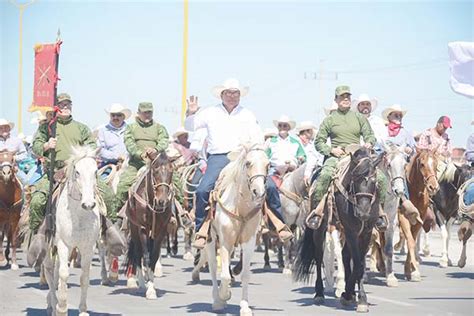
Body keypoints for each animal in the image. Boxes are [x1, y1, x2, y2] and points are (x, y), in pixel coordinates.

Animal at [42, 146, 103, 316]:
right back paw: (52, 305)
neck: (79, 216)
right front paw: (62, 308)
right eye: (77, 172)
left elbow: (84, 277)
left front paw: (83, 310)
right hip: (50, 248)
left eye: (95, 171)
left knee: (56, 272)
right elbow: (64, 274)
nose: (88, 204)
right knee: (50, 272)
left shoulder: (88, 247)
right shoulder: (63, 244)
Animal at [124, 151, 176, 298]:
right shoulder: (142, 229)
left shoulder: (161, 231)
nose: (162, 201)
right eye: (155, 170)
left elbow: (154, 257)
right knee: (138, 253)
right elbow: (146, 256)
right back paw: (141, 283)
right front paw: (148, 287)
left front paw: (152, 287)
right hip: (134, 230)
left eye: (171, 171)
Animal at [192, 144, 266, 316]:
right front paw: (224, 295)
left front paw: (245, 307)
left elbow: (245, 275)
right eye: (248, 163)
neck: (240, 208)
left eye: (268, 164)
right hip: (211, 240)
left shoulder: (249, 242)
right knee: (213, 267)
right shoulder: (225, 241)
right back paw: (217, 300)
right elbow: (224, 275)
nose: (259, 192)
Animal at [294, 149, 384, 314]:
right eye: (355, 179)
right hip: (321, 228)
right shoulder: (351, 230)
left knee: (345, 255)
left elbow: (359, 262)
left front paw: (352, 295)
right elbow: (358, 263)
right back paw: (319, 293)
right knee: (319, 256)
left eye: (374, 181)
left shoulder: (365, 232)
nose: (363, 212)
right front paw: (356, 297)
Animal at [400, 149, 440, 282]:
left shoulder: (419, 219)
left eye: (436, 164)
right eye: (422, 164)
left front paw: (410, 270)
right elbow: (410, 240)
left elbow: (412, 239)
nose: (433, 187)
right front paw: (414, 270)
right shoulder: (402, 217)